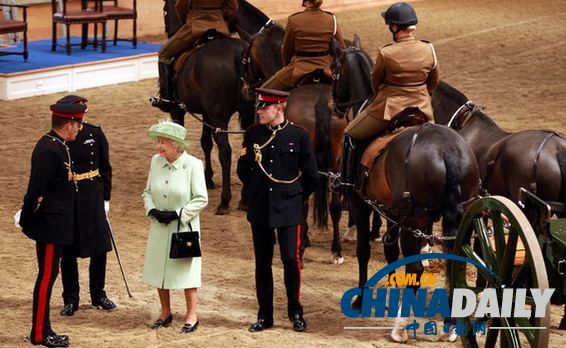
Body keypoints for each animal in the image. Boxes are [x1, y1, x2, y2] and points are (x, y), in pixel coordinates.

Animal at [163, 0, 254, 213]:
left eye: (164, 11)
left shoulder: (178, 110)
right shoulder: (206, 114)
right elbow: (205, 142)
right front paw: (208, 178)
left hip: (219, 117)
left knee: (226, 152)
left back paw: (225, 201)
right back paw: (244, 200)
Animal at [332, 40, 484, 340]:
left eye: (334, 69)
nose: (334, 103)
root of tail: (448, 150)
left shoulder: (360, 202)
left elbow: (365, 250)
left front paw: (360, 299)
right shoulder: (391, 212)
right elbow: (391, 253)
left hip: (414, 219)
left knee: (415, 265)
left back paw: (400, 327)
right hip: (451, 216)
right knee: (454, 263)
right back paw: (450, 324)